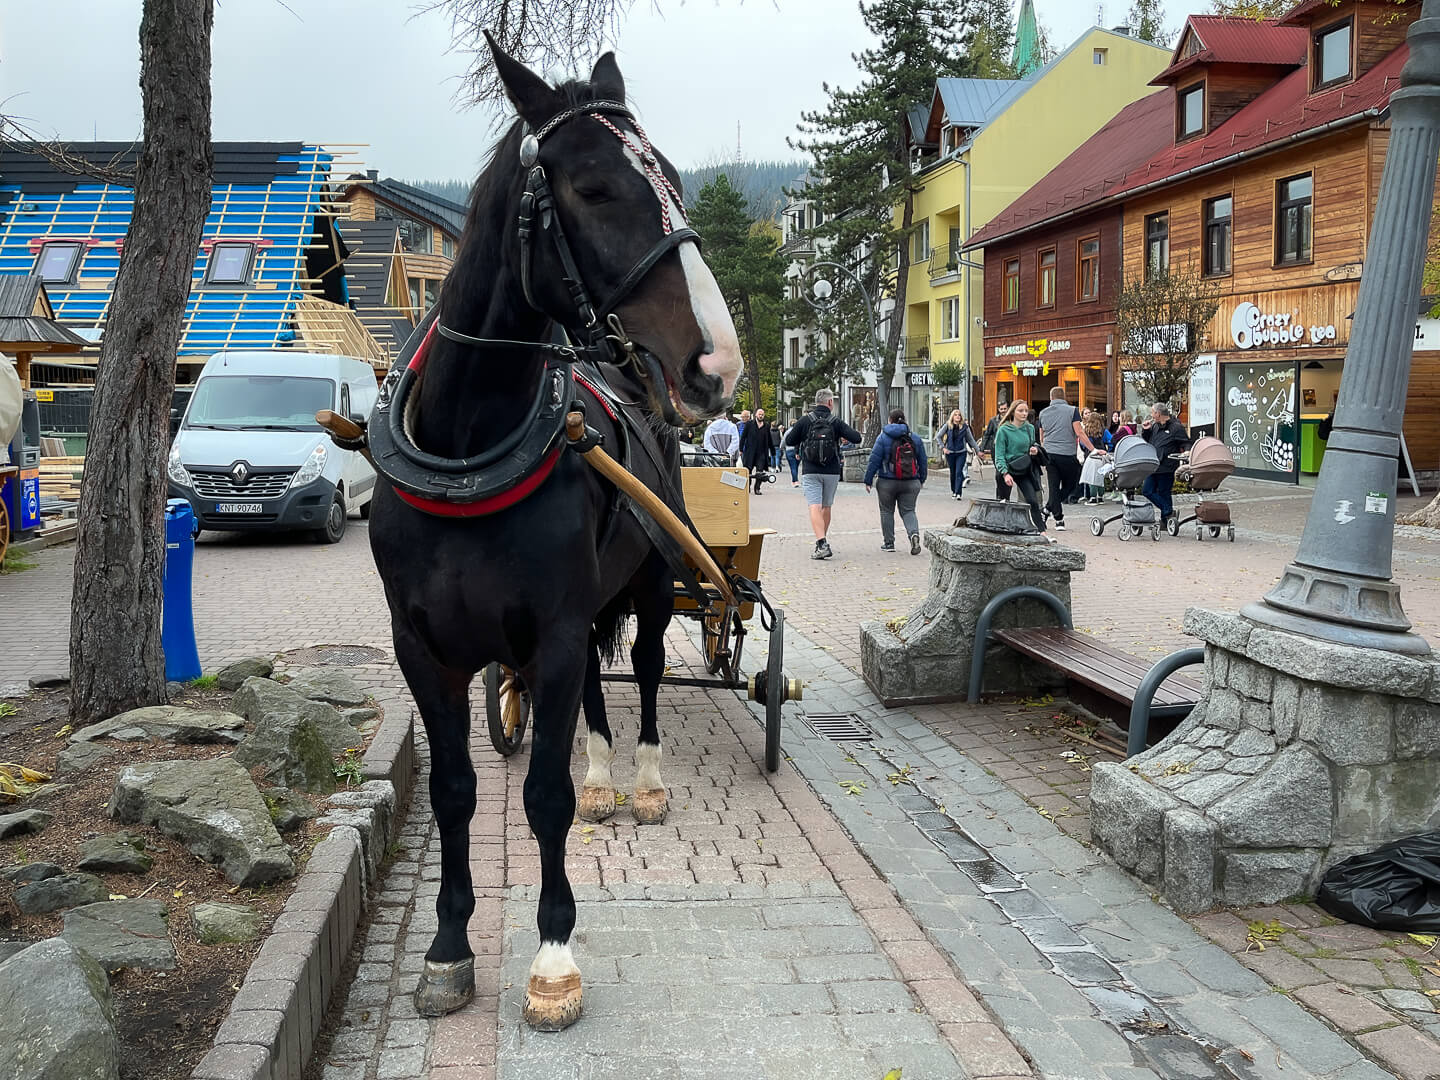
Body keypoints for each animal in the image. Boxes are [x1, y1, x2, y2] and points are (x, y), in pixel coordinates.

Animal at [365, 42, 737, 1031]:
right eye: (596, 186)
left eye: (676, 179)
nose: (717, 362)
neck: (466, 449)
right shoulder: (424, 647)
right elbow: (457, 790)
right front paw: (449, 947)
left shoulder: (560, 631)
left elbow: (543, 795)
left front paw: (554, 955)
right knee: (600, 696)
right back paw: (607, 775)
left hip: (646, 584)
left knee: (641, 670)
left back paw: (641, 779)